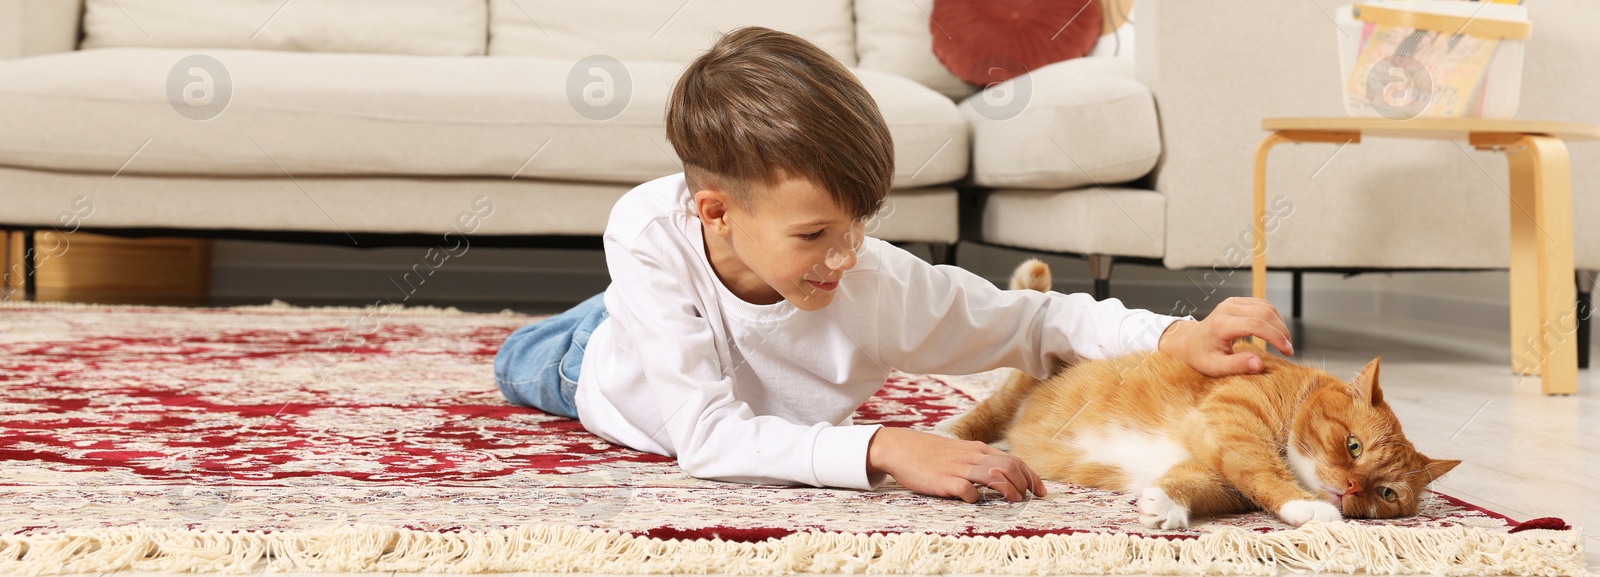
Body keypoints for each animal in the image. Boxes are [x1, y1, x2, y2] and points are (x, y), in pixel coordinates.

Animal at [947, 258, 1465, 527]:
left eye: (1387, 493)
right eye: (1354, 446)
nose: (1353, 489)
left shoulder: (1215, 470)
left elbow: (1198, 482)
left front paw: (1164, 504)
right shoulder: (1232, 422)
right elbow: (1263, 470)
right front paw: (1310, 508)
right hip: (1017, 390)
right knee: (990, 410)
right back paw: (952, 435)